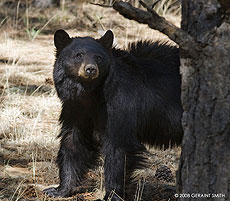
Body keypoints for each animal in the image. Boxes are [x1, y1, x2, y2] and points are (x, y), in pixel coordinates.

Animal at [43, 29, 183, 201]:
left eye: (99, 57)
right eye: (78, 55)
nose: (90, 69)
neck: (91, 93)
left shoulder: (120, 103)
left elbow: (118, 146)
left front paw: (112, 194)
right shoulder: (75, 108)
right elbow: (73, 142)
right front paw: (59, 189)